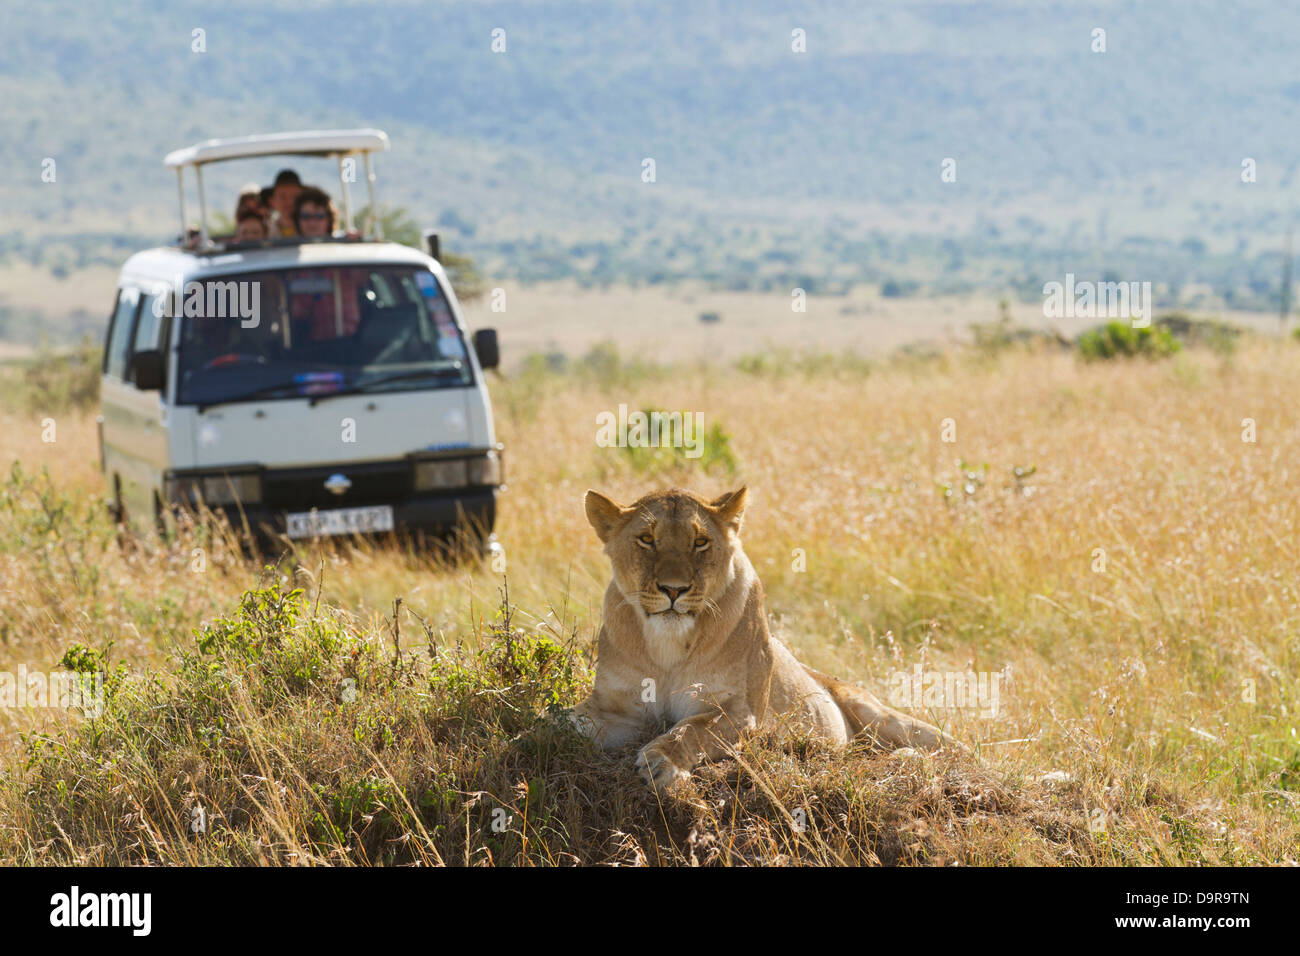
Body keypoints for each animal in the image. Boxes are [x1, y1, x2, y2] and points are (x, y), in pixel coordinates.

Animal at [570, 486, 960, 790]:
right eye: (647, 539)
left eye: (701, 542)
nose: (674, 589)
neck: (667, 647)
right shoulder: (616, 708)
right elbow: (571, 720)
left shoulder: (739, 711)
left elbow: (691, 729)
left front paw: (661, 761)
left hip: (880, 714)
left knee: (949, 748)